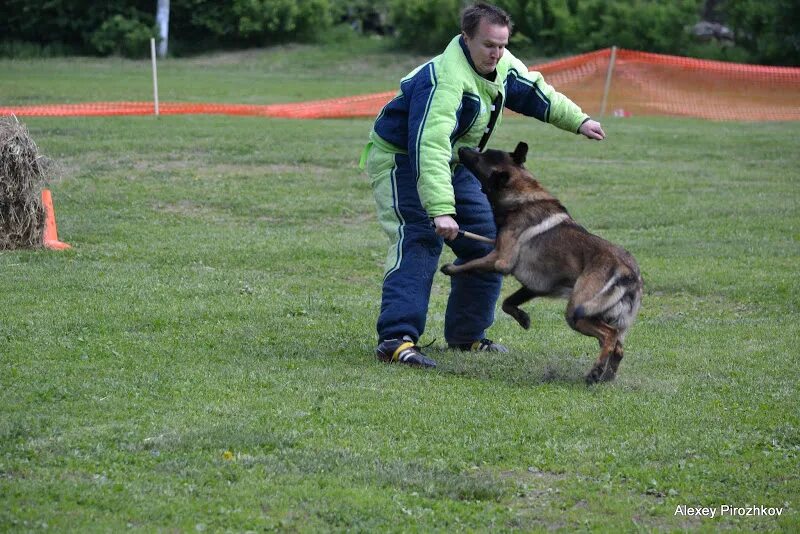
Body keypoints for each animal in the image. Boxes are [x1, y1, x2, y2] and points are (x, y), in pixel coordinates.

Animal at [440, 142, 648, 386]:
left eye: (481, 156)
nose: (462, 148)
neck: (522, 196)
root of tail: (630, 273)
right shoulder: (533, 286)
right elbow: (507, 303)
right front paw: (523, 318)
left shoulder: (500, 259)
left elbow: (471, 265)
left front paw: (450, 269)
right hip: (604, 315)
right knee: (618, 347)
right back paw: (607, 377)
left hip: (577, 312)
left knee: (610, 336)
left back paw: (595, 372)